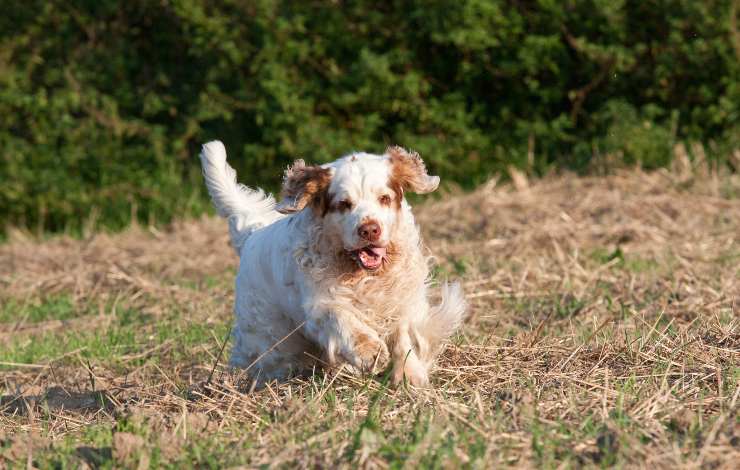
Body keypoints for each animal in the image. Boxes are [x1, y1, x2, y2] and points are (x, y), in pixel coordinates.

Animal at [199, 140, 466, 386]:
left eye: (384, 198)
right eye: (343, 204)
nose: (370, 230)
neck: (364, 275)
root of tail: (252, 234)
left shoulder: (398, 300)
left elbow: (402, 338)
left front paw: (409, 376)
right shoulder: (319, 306)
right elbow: (341, 318)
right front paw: (369, 352)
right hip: (271, 337)